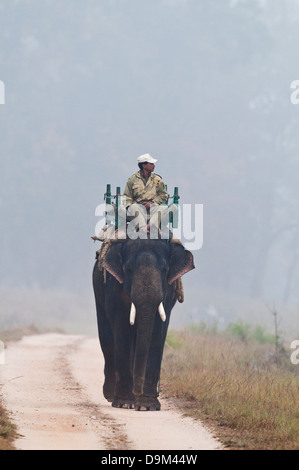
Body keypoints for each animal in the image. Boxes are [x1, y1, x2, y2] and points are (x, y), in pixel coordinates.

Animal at [94, 237, 197, 410]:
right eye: (128, 269)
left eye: (164, 269)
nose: (137, 391)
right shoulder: (114, 286)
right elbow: (121, 328)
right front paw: (125, 403)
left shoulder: (168, 291)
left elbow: (158, 330)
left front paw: (147, 405)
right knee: (107, 339)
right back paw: (110, 395)